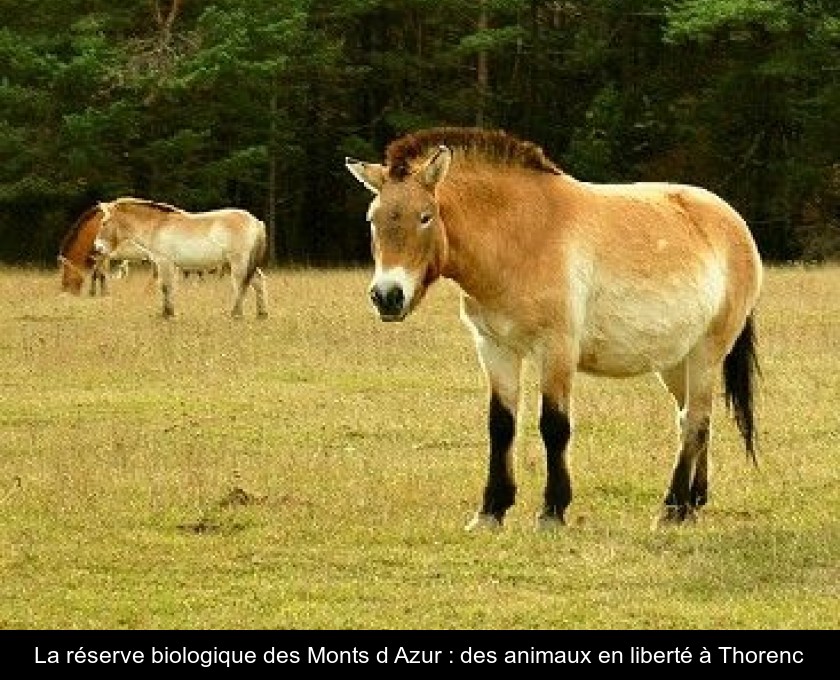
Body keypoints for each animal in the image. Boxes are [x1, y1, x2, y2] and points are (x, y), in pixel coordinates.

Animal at [93, 197, 268, 318]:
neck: (158, 226)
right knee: (257, 281)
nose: (97, 247)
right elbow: (170, 288)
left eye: (104, 222)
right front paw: (168, 312)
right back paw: (262, 314)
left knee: (241, 285)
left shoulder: (164, 262)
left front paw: (167, 314)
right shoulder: (171, 266)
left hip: (238, 262)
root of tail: (256, 221)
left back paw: (236, 314)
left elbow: (165, 287)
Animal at [344, 129, 764, 532]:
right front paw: (490, 511)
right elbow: (501, 425)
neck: (519, 238)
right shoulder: (494, 347)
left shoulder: (556, 348)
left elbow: (554, 426)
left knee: (695, 422)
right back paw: (693, 504)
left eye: (425, 216)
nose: (387, 297)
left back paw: (671, 508)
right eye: (372, 218)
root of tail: (734, 224)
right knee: (691, 419)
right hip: (676, 361)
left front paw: (551, 511)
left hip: (706, 353)